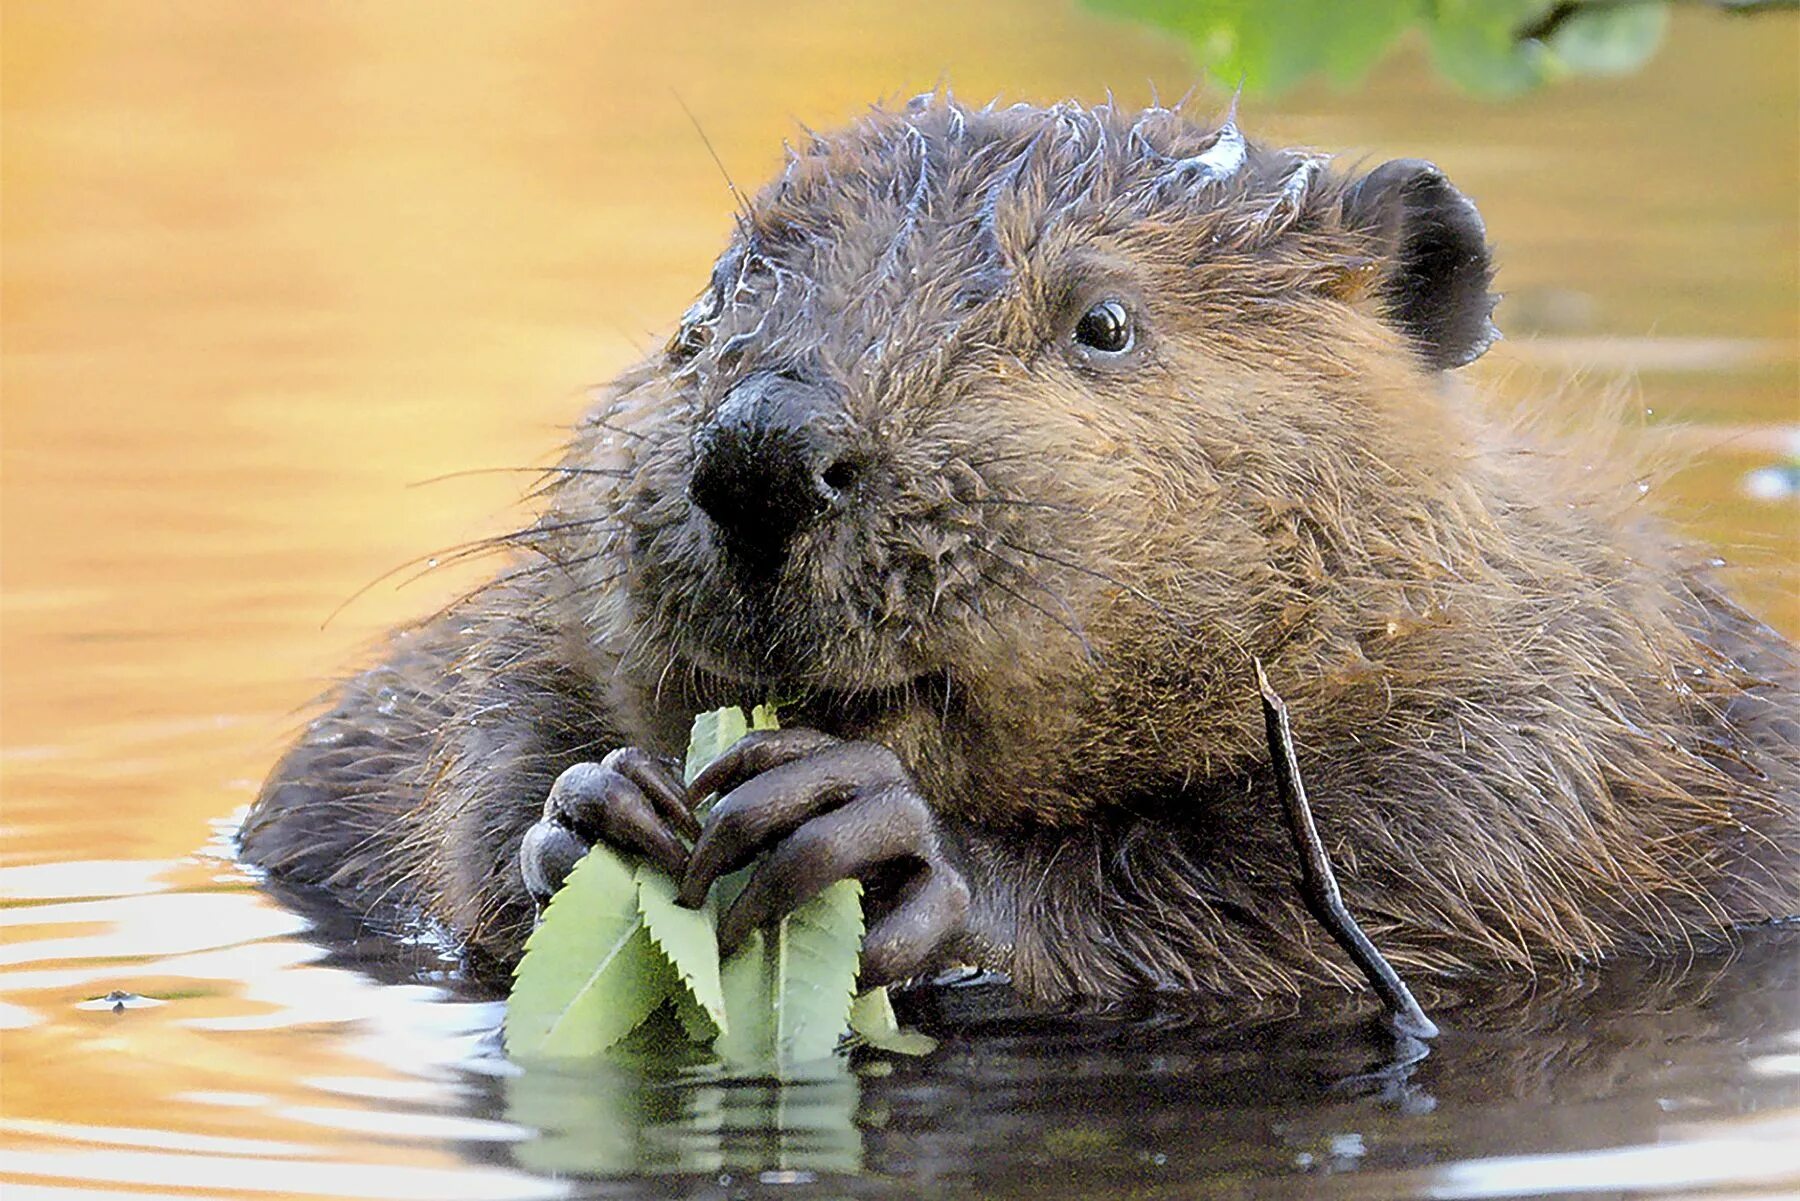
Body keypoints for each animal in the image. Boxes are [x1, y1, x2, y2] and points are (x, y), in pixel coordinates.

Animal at [243, 94, 1800, 1008]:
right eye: (707, 302)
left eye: (1103, 323)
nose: (762, 452)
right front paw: (588, 812)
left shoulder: (1550, 737)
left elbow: (1340, 894)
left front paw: (876, 839)